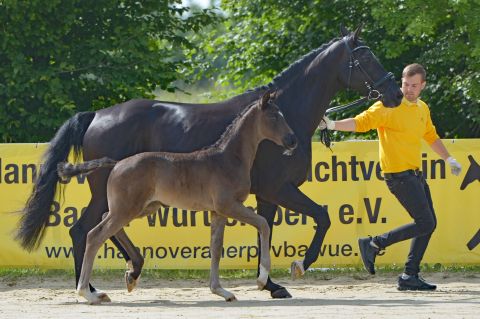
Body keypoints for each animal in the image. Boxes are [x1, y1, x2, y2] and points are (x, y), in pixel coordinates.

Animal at [57, 91, 296, 306]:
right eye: (273, 117)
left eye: (283, 115)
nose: (292, 140)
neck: (228, 158)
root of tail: (117, 163)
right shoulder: (229, 205)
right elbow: (263, 224)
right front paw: (262, 280)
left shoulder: (217, 212)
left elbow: (216, 248)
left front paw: (221, 291)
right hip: (127, 209)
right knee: (94, 235)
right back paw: (88, 293)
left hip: (142, 208)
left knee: (105, 221)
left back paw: (130, 274)